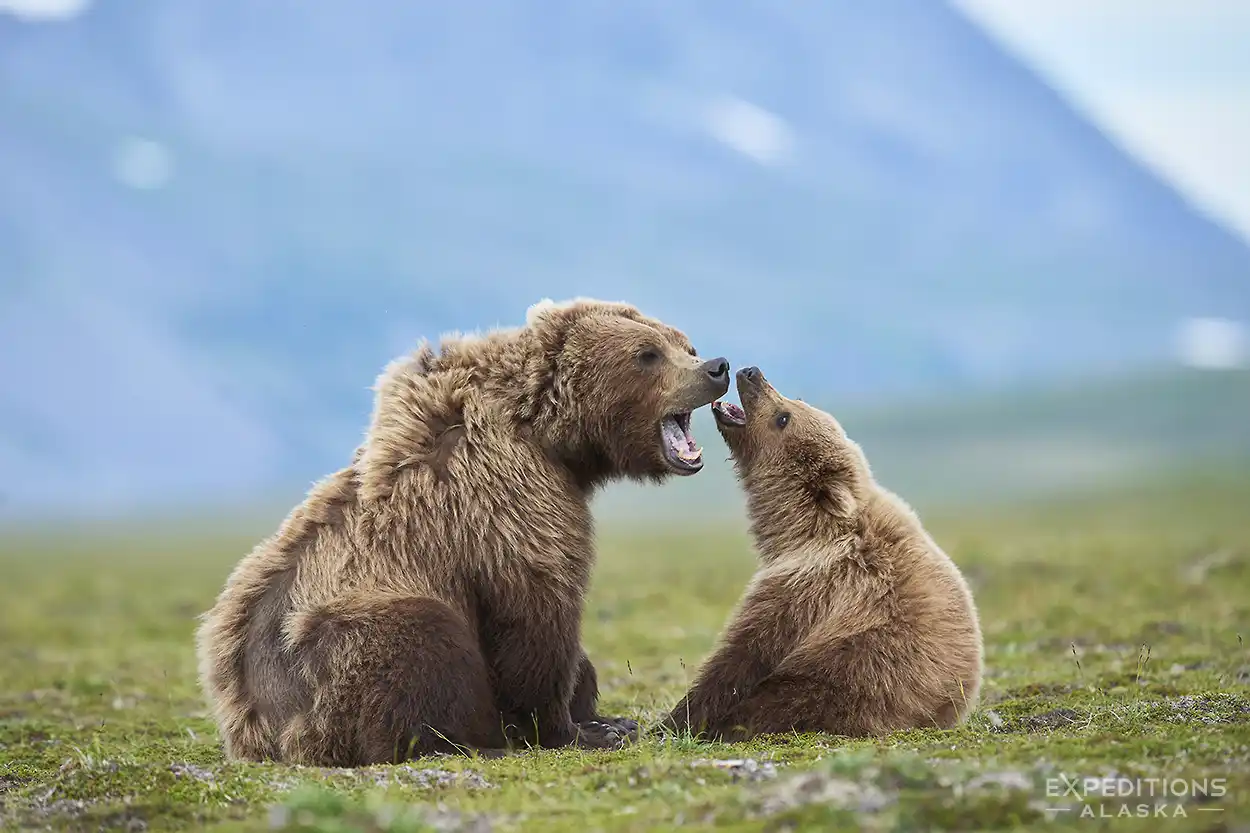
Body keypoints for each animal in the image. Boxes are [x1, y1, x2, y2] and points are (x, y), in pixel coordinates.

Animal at [195, 298, 731, 766]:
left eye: (685, 344)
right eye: (647, 353)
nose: (716, 367)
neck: (548, 436)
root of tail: (257, 728)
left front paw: (607, 716)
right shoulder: (508, 502)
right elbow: (536, 615)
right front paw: (580, 730)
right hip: (336, 650)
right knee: (421, 644)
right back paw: (466, 743)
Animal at [664, 366, 982, 741]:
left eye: (783, 417)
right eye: (795, 400)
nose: (751, 372)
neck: (798, 530)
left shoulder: (813, 585)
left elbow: (745, 653)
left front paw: (673, 721)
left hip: (856, 672)